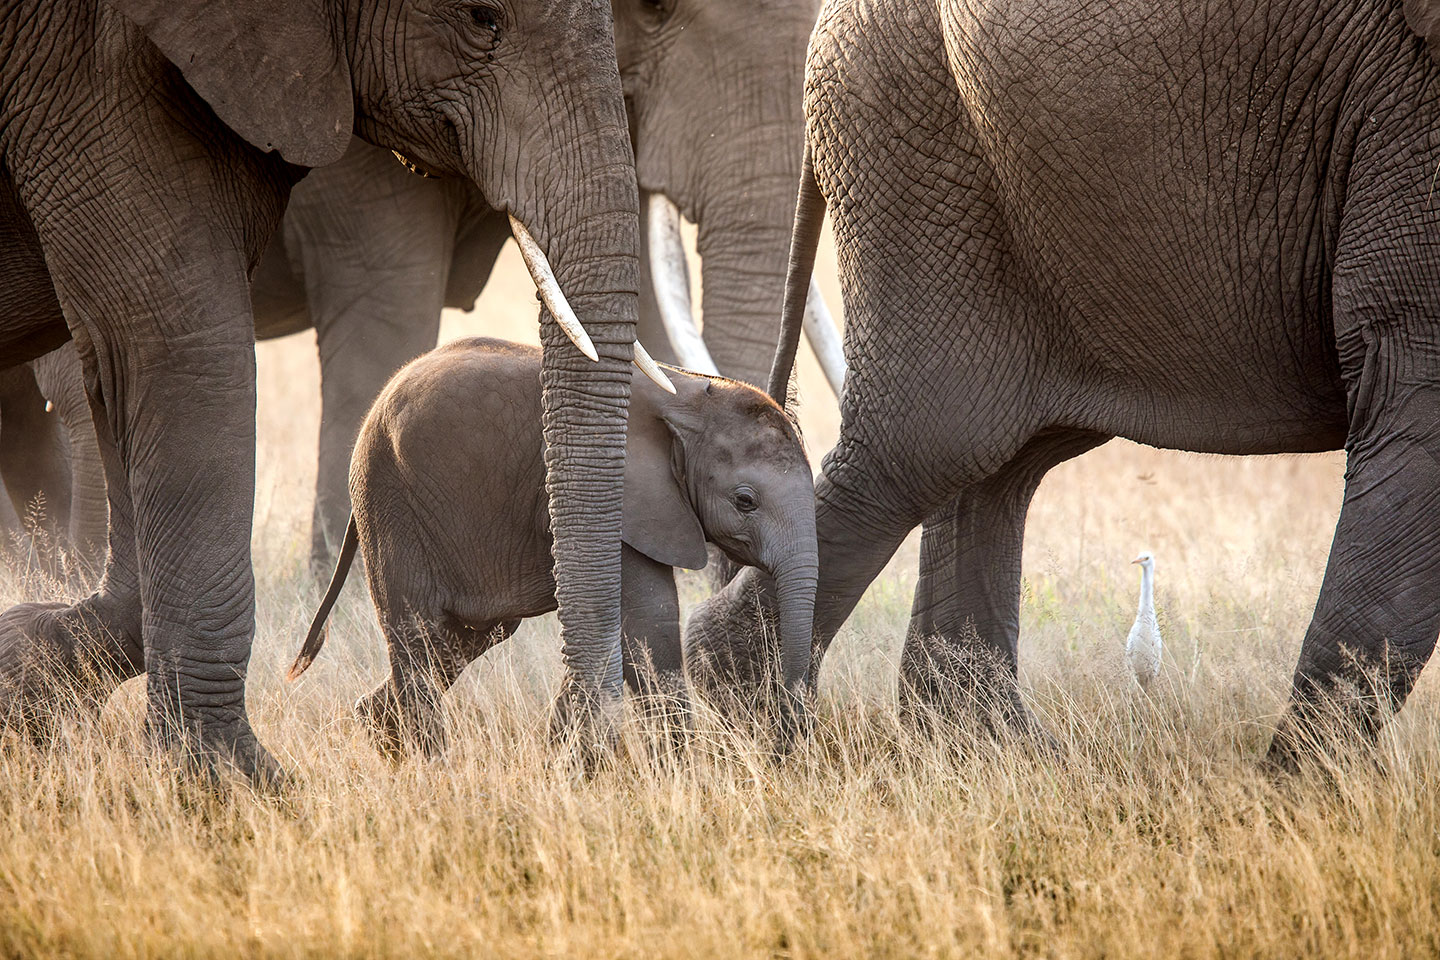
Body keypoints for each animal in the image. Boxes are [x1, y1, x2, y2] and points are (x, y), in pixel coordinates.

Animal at [0, 0, 656, 782]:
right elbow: (181, 345)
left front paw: (23, 673)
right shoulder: (95, 84)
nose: (581, 747)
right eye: (481, 20)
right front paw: (231, 784)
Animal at [286, 337, 818, 755]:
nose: (781, 742)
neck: (687, 395)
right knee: (418, 631)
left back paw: (379, 731)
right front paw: (682, 777)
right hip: (388, 499)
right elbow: (649, 619)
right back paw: (429, 767)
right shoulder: (619, 498)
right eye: (745, 501)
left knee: (467, 636)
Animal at [685, 0, 1440, 762]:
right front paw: (1299, 779)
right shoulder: (1409, 109)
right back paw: (762, 729)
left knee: (997, 464)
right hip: (912, 161)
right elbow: (1417, 412)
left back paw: (1001, 753)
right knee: (928, 446)